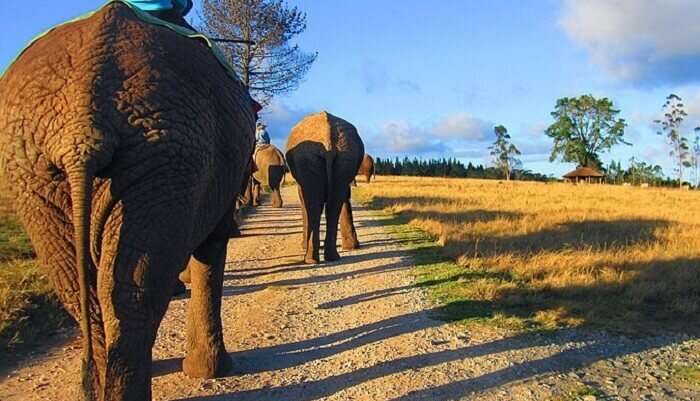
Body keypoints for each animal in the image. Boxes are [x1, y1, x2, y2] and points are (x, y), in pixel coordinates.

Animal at [0, 2, 258, 396]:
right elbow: (212, 246)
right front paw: (211, 372)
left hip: (53, 166)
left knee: (88, 288)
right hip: (159, 152)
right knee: (124, 291)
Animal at [284, 111, 364, 264]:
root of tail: (327, 137)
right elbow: (344, 195)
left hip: (308, 159)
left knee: (314, 206)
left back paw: (310, 259)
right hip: (345, 156)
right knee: (333, 204)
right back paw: (332, 257)